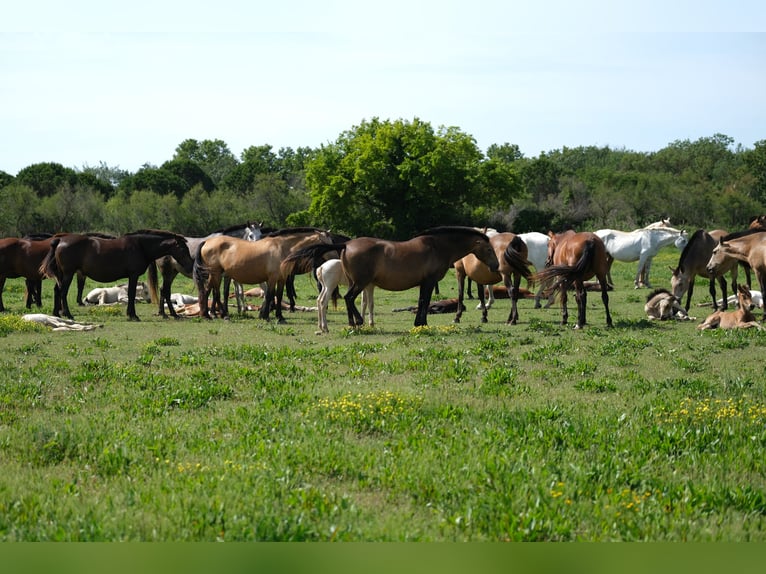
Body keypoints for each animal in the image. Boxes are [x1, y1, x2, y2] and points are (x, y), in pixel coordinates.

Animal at [39, 230, 192, 321]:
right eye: (183, 248)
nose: (190, 265)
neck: (140, 246)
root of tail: (60, 241)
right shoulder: (133, 275)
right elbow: (131, 294)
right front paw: (133, 315)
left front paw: (130, 314)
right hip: (68, 274)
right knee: (63, 292)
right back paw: (68, 314)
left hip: (62, 275)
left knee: (57, 291)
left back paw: (56, 313)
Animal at [193, 227, 333, 322]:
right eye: (327, 244)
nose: (334, 259)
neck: (281, 248)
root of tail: (206, 242)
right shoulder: (272, 278)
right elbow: (270, 295)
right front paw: (266, 316)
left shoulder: (281, 279)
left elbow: (278, 296)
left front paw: (280, 317)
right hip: (216, 274)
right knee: (216, 292)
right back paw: (223, 315)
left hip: (214, 275)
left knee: (207, 291)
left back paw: (207, 315)